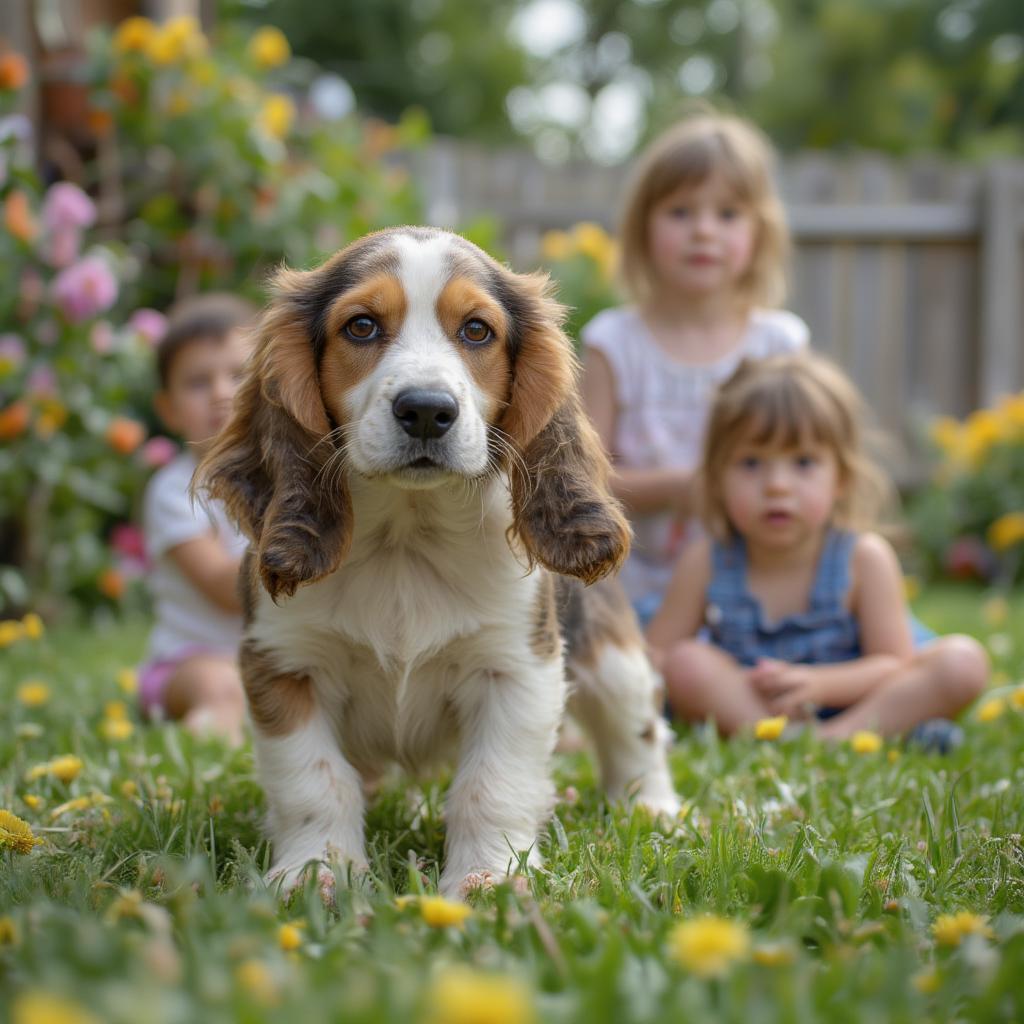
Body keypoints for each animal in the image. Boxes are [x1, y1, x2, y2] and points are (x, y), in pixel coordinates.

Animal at [197, 226, 679, 897]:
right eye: (362, 327)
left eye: (476, 330)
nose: (426, 410)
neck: (408, 536)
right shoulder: (285, 665)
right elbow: (314, 783)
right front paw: (316, 873)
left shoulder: (517, 669)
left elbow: (491, 786)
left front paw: (489, 880)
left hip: (611, 660)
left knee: (639, 730)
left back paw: (652, 810)